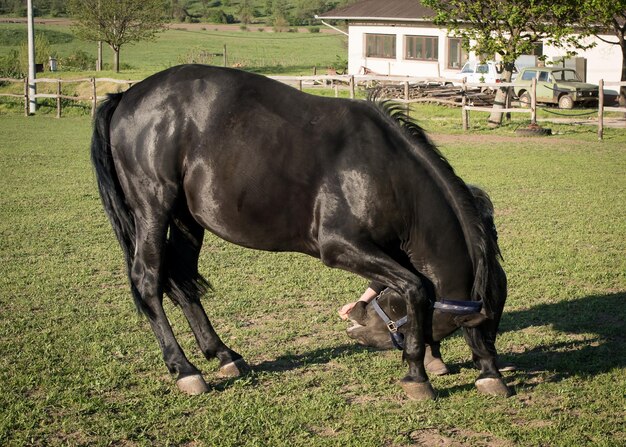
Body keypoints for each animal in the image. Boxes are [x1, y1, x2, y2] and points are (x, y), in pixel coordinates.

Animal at [89, 65, 508, 400]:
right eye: (479, 323)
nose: (491, 366)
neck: (387, 171)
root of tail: (127, 96)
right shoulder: (341, 246)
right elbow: (418, 289)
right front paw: (417, 373)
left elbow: (416, 287)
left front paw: (452, 365)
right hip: (153, 208)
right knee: (149, 280)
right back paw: (185, 370)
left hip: (186, 221)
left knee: (183, 282)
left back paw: (223, 355)